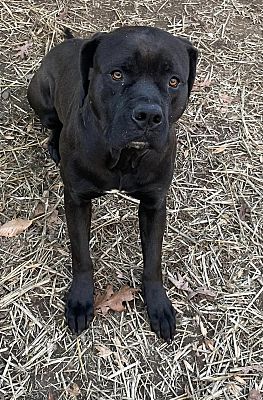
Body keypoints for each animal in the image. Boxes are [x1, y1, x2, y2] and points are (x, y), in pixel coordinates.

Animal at [28, 25, 198, 340]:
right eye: (117, 74)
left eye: (173, 81)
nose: (148, 116)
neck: (124, 157)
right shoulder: (77, 199)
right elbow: (81, 255)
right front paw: (81, 300)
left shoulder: (154, 204)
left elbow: (153, 260)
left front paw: (158, 305)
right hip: (42, 99)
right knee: (53, 123)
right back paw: (55, 145)